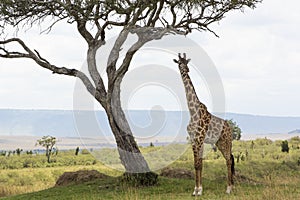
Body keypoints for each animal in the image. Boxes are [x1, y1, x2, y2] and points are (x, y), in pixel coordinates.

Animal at [173, 52, 234, 195]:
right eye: (180, 63)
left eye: (186, 62)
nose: (186, 69)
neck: (193, 111)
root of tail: (229, 127)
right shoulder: (194, 139)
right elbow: (198, 163)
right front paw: (197, 189)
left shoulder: (199, 139)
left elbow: (198, 164)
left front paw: (198, 190)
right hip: (219, 142)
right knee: (229, 158)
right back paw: (230, 186)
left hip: (226, 141)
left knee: (229, 160)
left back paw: (229, 188)